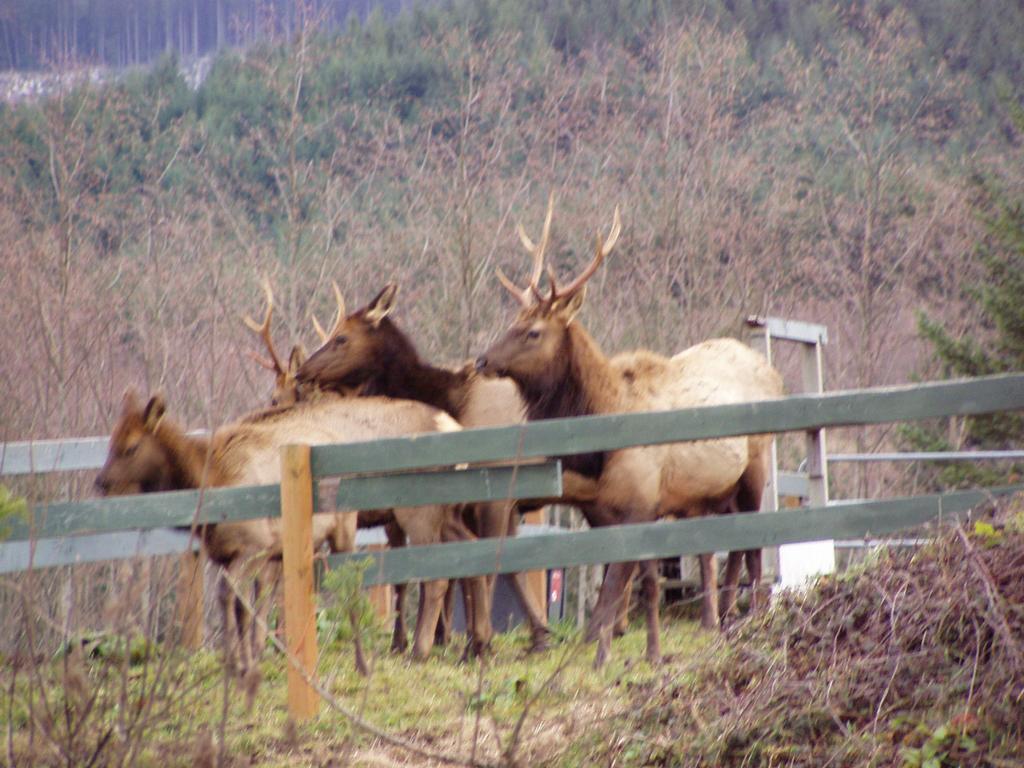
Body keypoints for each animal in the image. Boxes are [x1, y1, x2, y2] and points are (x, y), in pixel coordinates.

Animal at [94, 388, 489, 679]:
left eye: (130, 447)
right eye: (109, 443)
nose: (99, 484)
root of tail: (453, 427)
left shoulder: (257, 546)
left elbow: (259, 594)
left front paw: (250, 657)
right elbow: (261, 595)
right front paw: (257, 654)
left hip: (417, 510)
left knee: (436, 577)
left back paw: (420, 650)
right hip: (447, 512)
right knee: (472, 554)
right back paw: (475, 646)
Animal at [473, 196, 784, 667]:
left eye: (533, 331)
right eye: (513, 320)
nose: (482, 360)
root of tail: (775, 373)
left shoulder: (639, 504)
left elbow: (615, 587)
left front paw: (598, 651)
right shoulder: (611, 509)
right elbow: (632, 584)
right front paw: (630, 649)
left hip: (756, 464)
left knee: (753, 545)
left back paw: (752, 615)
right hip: (715, 490)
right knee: (725, 546)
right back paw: (724, 617)